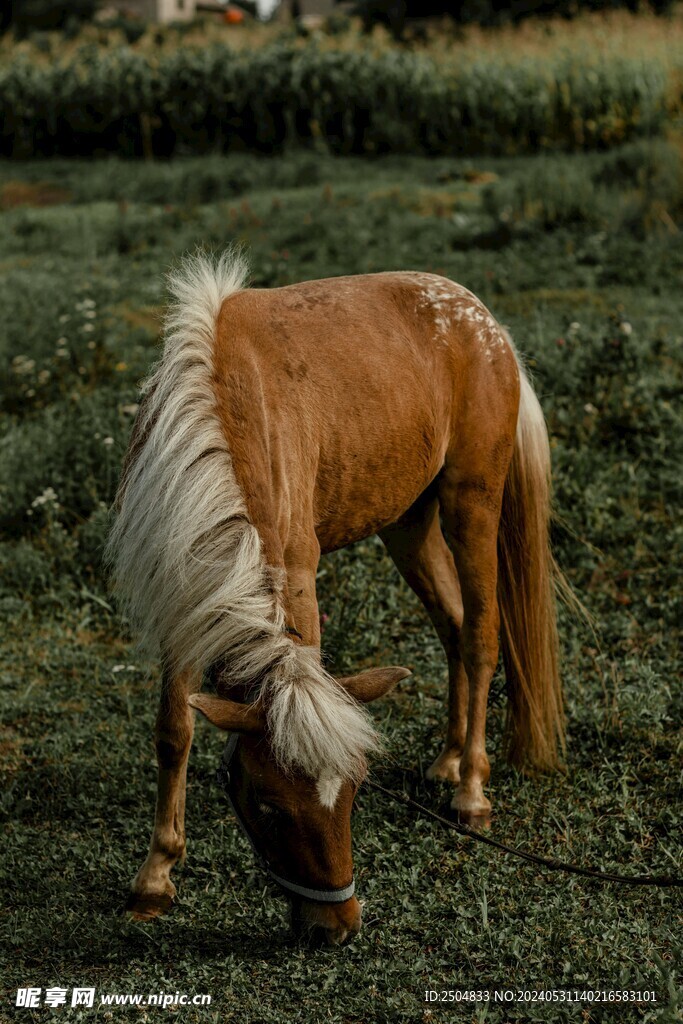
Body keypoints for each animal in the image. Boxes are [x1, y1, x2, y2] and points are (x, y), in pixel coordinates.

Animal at [107, 250, 564, 946]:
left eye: (354, 793)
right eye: (267, 805)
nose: (336, 928)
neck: (224, 413)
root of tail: (487, 324)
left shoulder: (296, 567)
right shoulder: (186, 590)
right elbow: (174, 729)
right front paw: (155, 879)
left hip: (472, 503)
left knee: (483, 636)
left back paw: (472, 792)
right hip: (408, 525)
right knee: (454, 627)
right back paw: (448, 759)